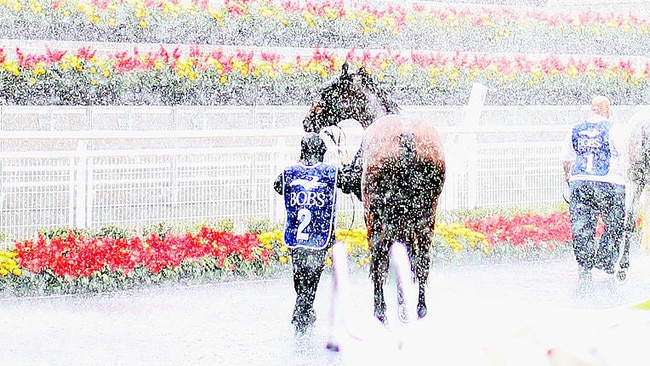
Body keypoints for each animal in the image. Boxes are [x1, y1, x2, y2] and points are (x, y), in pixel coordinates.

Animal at [302, 63, 442, 324]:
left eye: (326, 92)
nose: (307, 120)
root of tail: (406, 138)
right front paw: (402, 303)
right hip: (426, 215)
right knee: (421, 261)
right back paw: (419, 308)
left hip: (375, 214)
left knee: (378, 259)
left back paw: (380, 310)